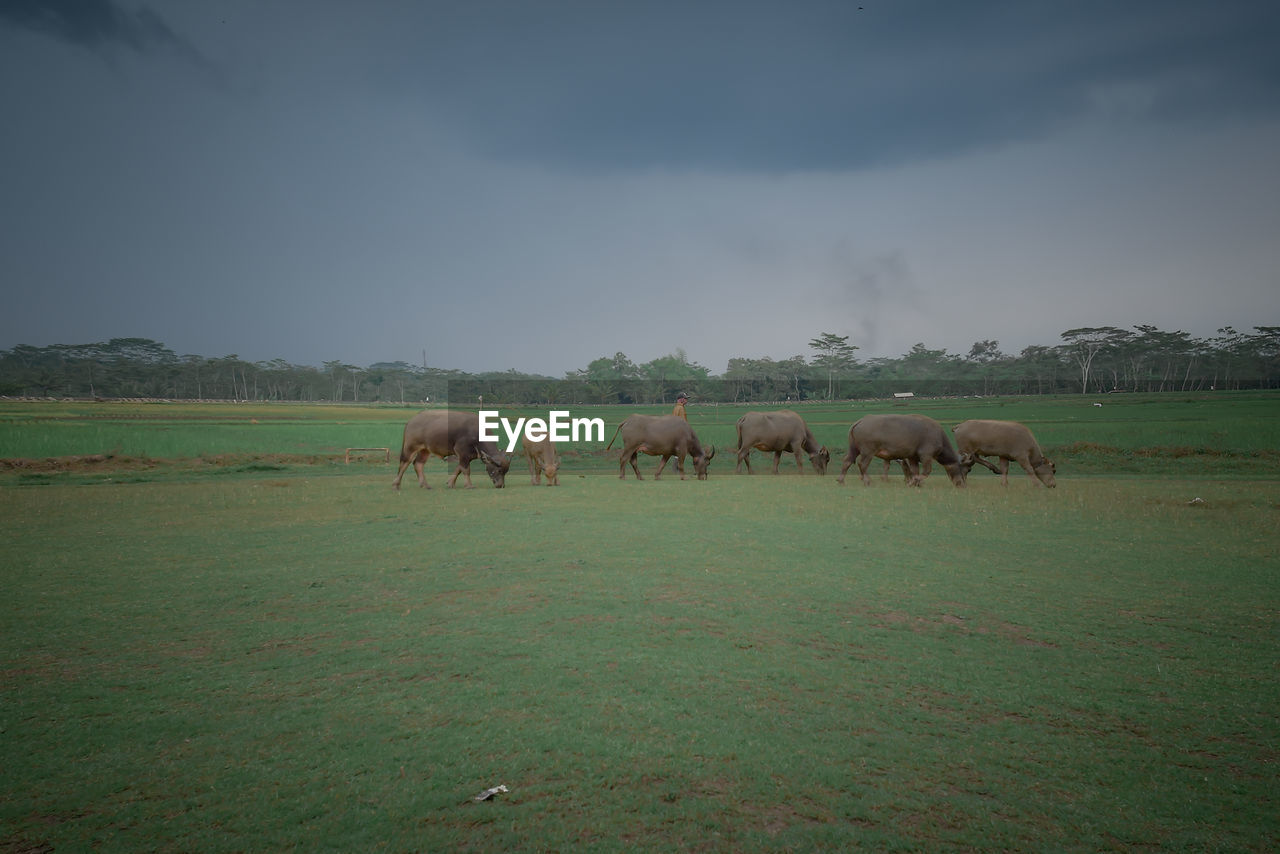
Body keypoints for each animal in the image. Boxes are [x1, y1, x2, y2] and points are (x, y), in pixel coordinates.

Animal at [834, 414, 962, 486]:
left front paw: (916, 482)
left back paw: (841, 480)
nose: (962, 484)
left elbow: (914, 470)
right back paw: (867, 480)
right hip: (867, 451)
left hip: (854, 448)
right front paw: (914, 481)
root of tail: (859, 421)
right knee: (862, 464)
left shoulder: (912, 457)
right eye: (964, 469)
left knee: (847, 461)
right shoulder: (926, 455)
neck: (939, 436)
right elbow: (926, 471)